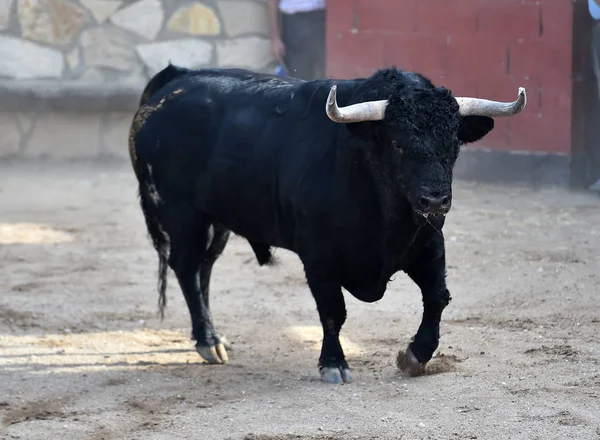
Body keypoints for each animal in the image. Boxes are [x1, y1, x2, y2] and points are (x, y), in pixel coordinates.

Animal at [130, 63, 524, 384]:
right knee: (186, 267)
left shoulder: (429, 242)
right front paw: (333, 364)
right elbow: (334, 311)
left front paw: (416, 355)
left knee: (204, 268)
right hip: (181, 214)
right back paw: (207, 340)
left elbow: (437, 297)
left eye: (454, 143)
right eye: (398, 144)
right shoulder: (318, 257)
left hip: (217, 220)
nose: (435, 200)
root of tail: (176, 79)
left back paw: (215, 337)